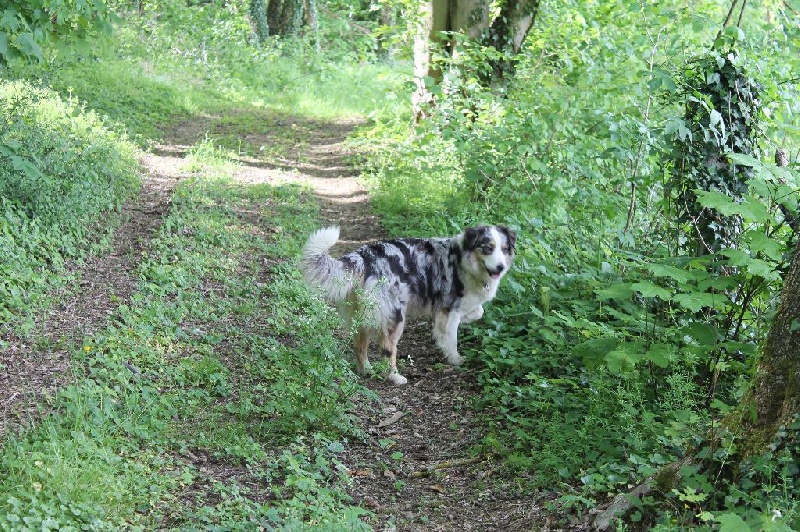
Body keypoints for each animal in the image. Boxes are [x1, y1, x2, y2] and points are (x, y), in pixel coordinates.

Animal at [302, 225, 520, 386]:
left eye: (504, 249)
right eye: (488, 247)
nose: (500, 267)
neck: (464, 260)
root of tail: (364, 256)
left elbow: (478, 312)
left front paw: (469, 318)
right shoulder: (449, 309)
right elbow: (451, 339)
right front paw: (455, 359)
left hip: (363, 314)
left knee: (359, 344)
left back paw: (366, 370)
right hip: (395, 316)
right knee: (387, 348)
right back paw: (395, 377)